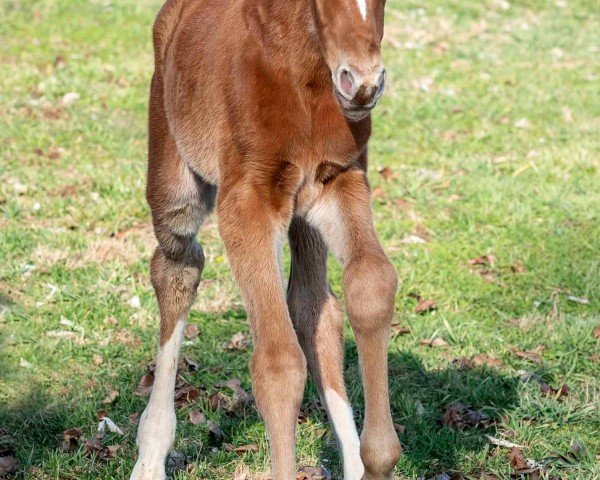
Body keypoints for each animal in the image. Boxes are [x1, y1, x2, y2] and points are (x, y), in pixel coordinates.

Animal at [131, 0, 400, 478]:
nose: (362, 84)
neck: (303, 78)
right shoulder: (247, 202)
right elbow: (278, 362)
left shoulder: (339, 181)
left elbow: (371, 286)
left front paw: (377, 458)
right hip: (173, 180)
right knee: (176, 268)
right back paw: (150, 453)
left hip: (304, 214)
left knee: (314, 308)